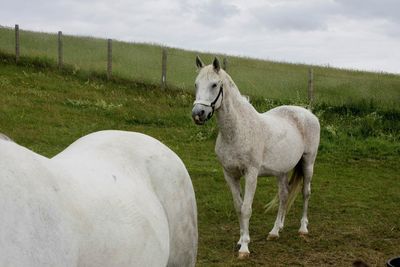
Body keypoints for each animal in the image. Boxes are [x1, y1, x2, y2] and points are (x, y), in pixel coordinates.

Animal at [192, 57, 320, 260]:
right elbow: (238, 207)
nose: (198, 114)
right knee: (284, 195)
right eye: (196, 84)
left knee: (305, 193)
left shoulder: (251, 174)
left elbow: (246, 209)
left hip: (308, 163)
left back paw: (302, 229)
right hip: (282, 171)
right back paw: (275, 231)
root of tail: (308, 114)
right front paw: (240, 240)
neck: (238, 129)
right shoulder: (230, 174)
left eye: (214, 84)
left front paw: (244, 248)